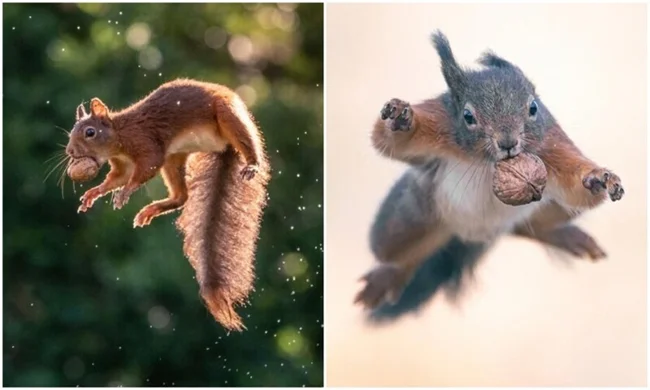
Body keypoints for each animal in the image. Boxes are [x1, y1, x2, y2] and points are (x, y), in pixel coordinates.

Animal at [63, 79, 268, 332]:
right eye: (72, 132)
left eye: (90, 132)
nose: (70, 152)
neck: (120, 134)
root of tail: (224, 146)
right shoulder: (122, 166)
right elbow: (117, 179)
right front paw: (94, 193)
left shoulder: (146, 143)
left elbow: (146, 168)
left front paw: (125, 193)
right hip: (175, 159)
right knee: (182, 197)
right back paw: (152, 209)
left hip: (228, 116)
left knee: (248, 141)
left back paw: (252, 164)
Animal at [354, 30, 624, 322]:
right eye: (467, 115)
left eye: (533, 108)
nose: (508, 142)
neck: (492, 163)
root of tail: (469, 235)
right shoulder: (438, 124)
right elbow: (387, 141)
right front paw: (402, 119)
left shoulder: (551, 146)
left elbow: (576, 186)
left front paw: (598, 179)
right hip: (408, 219)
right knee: (398, 254)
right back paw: (387, 277)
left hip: (551, 209)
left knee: (532, 228)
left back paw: (563, 236)